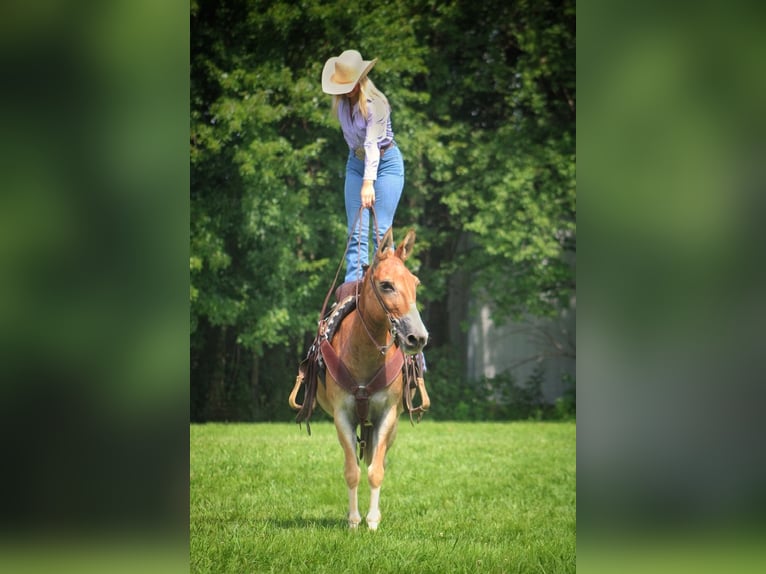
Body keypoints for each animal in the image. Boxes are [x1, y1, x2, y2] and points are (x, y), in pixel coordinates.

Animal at [290, 228, 428, 532]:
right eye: (386, 285)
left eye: (415, 283)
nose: (418, 337)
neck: (363, 353)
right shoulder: (342, 415)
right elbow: (352, 471)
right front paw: (354, 521)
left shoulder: (388, 415)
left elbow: (376, 471)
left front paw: (373, 521)